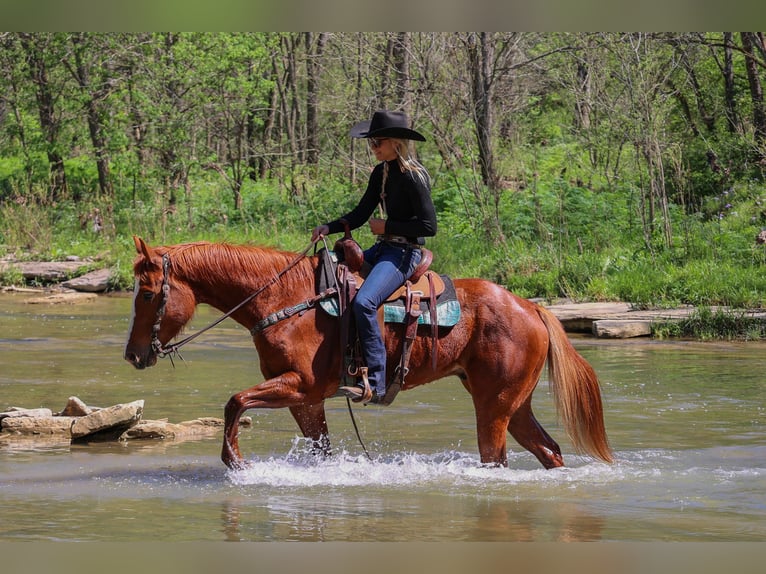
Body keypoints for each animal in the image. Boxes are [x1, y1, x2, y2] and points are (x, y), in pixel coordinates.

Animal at [127, 236, 616, 470]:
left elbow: (234, 401)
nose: (133, 355)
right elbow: (319, 449)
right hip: (515, 405)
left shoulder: (298, 386)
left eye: (148, 294)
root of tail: (532, 307)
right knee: (549, 450)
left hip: (494, 407)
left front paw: (235, 461)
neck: (285, 299)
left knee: (496, 459)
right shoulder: (306, 400)